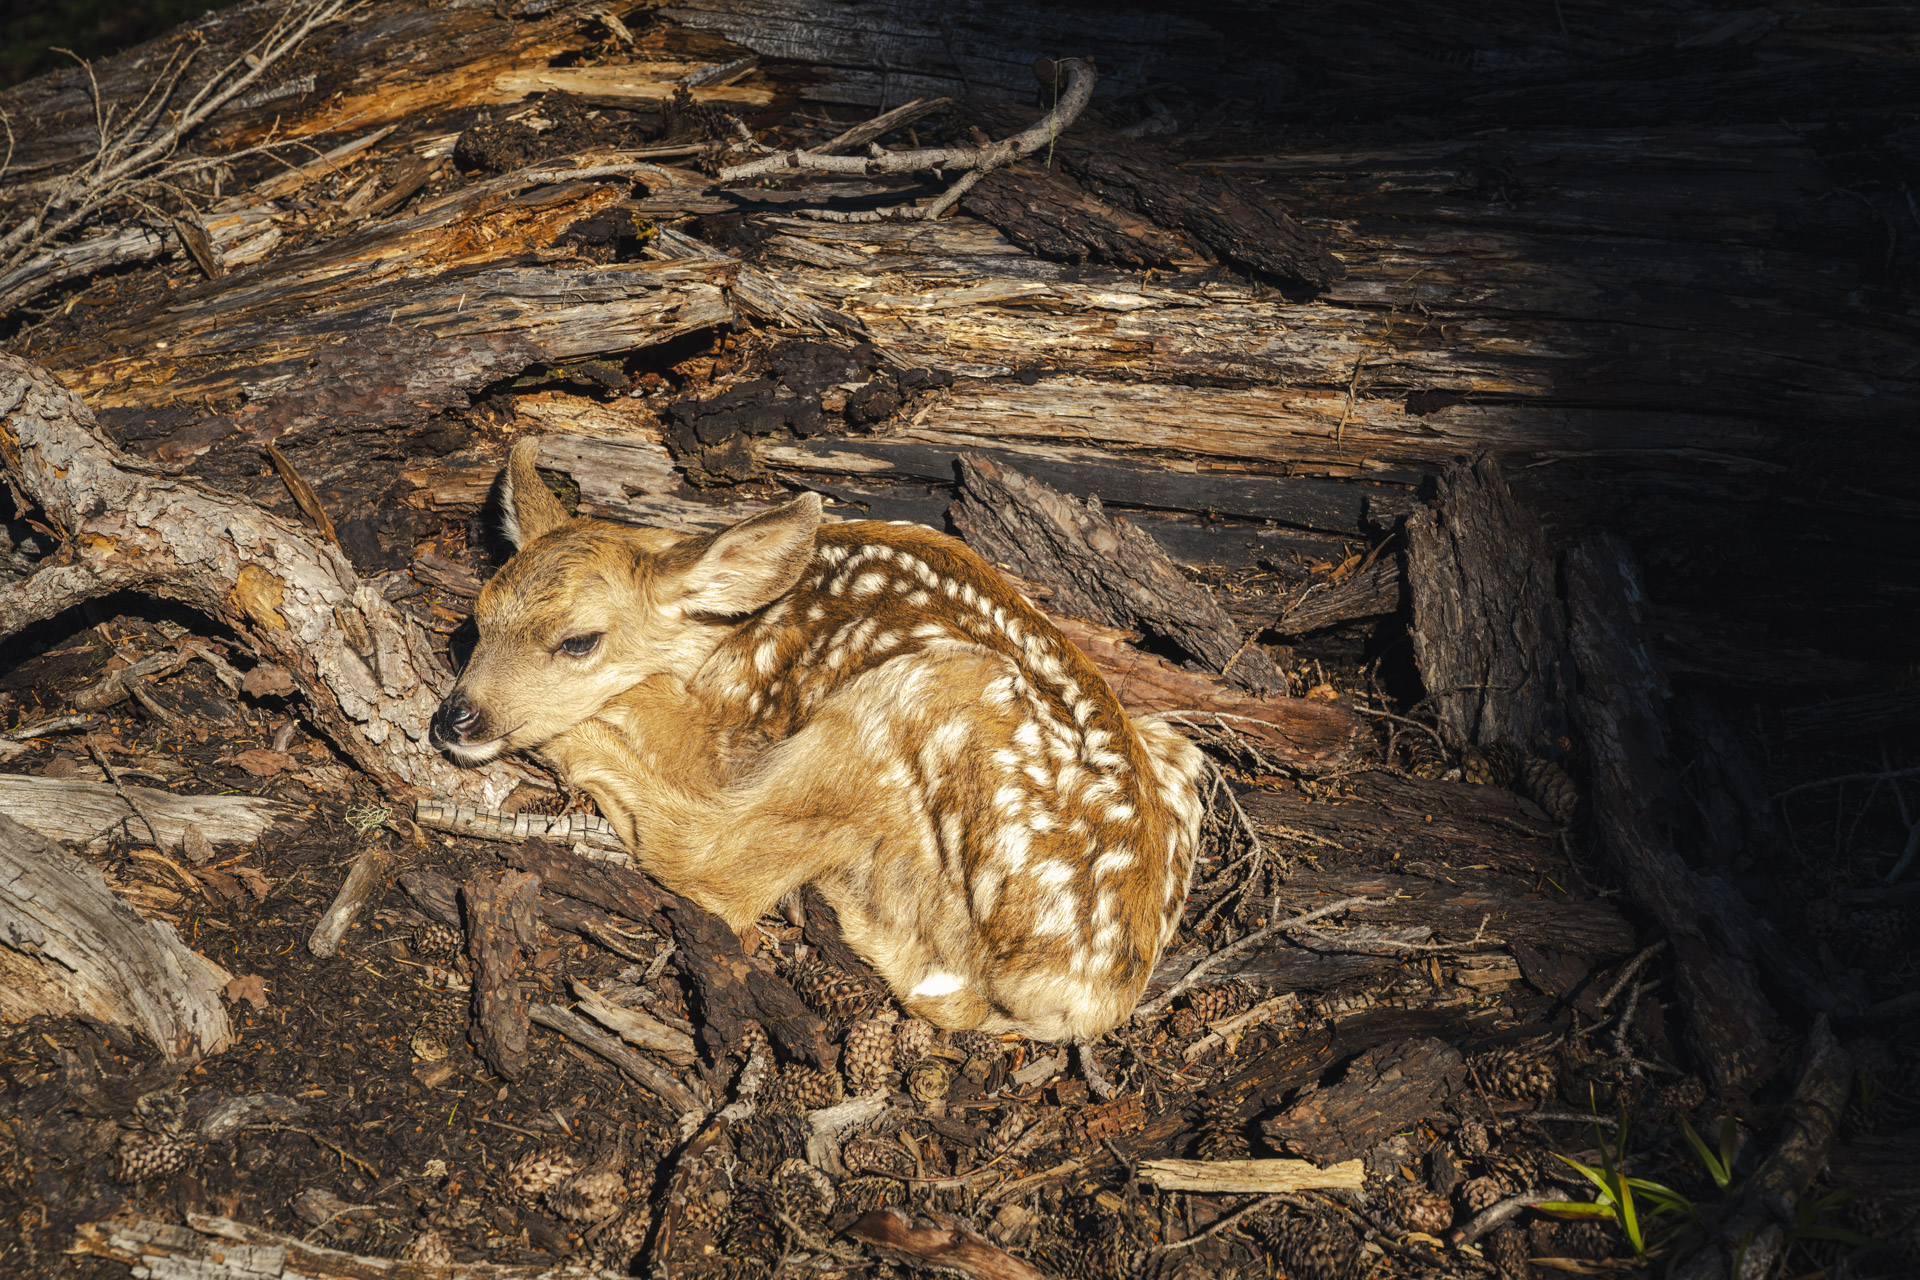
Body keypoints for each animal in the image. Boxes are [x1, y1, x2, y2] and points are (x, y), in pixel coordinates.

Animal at [429, 438, 1205, 1042]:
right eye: (478, 616)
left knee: (713, 865)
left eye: (579, 641)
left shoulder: (734, 733)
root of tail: (1081, 994)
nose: (455, 719)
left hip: (913, 697)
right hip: (1176, 750)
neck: (725, 636)